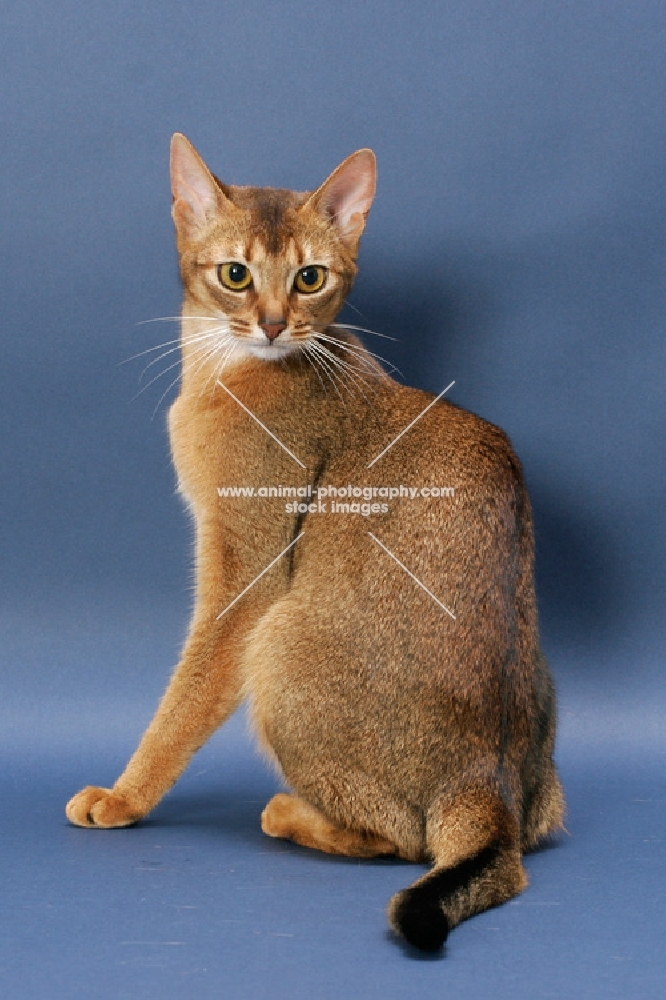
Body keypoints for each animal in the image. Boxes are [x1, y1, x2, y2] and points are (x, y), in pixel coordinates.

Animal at [67, 133, 564, 952]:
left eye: (310, 278)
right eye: (236, 274)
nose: (273, 324)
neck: (224, 372)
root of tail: (482, 786)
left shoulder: (248, 573)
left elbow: (187, 694)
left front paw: (124, 796)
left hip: (279, 638)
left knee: (405, 840)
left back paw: (288, 813)